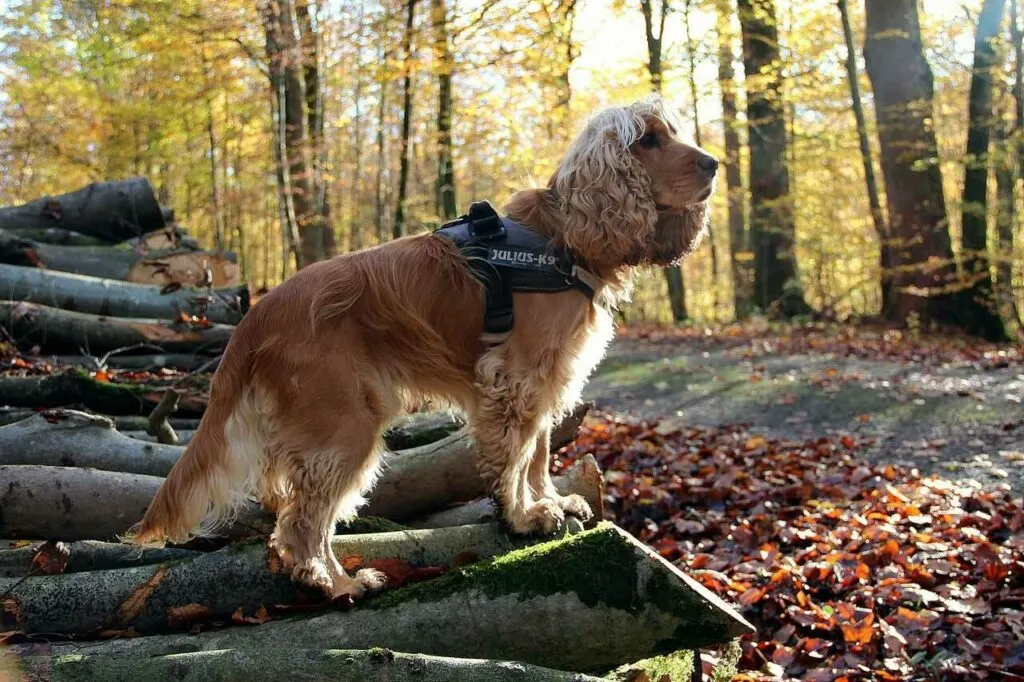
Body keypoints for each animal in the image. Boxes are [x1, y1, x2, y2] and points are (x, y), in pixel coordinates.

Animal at [128, 94, 716, 593]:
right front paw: (523, 516)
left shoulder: (549, 378)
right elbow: (517, 455)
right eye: (647, 140)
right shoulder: (517, 376)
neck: (563, 236)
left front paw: (550, 501)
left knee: (282, 497)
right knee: (302, 524)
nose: (714, 163)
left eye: (674, 133)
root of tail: (260, 313)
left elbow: (540, 451)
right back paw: (339, 584)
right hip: (346, 425)